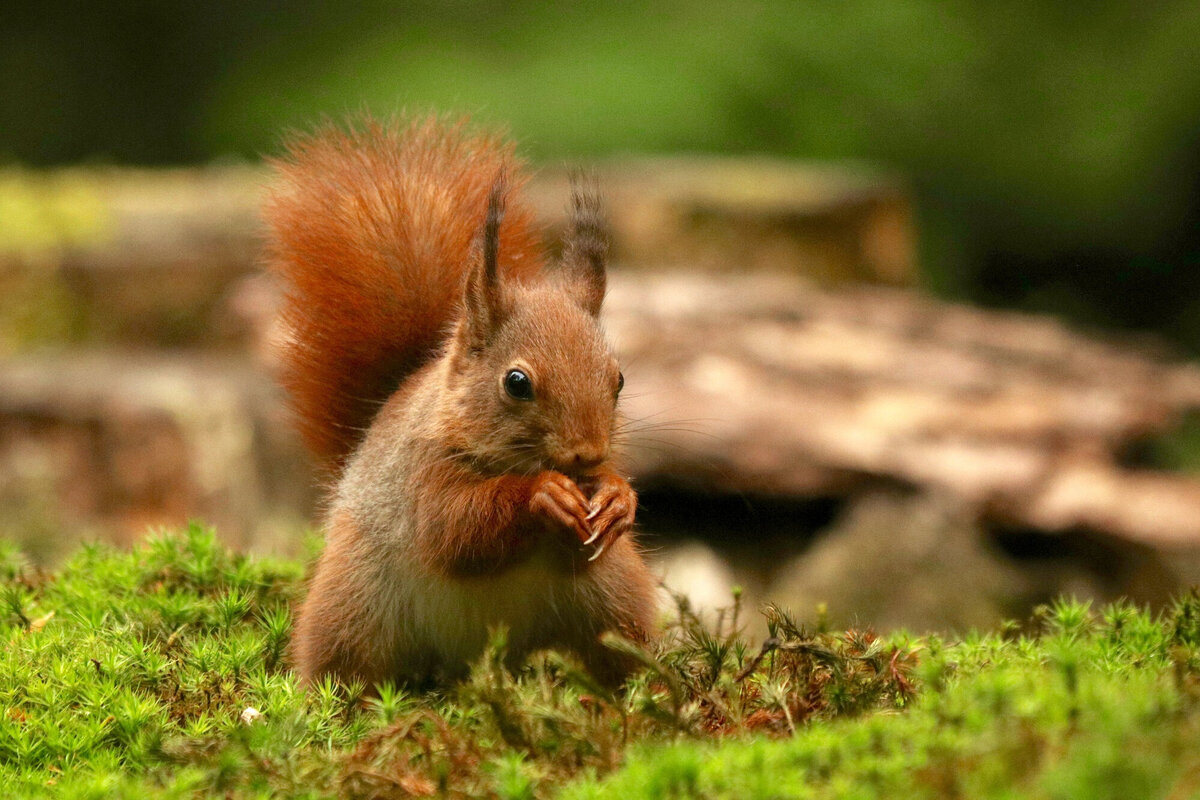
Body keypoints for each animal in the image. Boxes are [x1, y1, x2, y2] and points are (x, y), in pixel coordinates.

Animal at [263, 115, 659, 688]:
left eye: (620, 378)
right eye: (516, 382)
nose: (588, 454)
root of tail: (471, 660)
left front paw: (616, 498)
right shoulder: (421, 475)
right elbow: (454, 529)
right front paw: (542, 494)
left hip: (614, 595)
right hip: (353, 604)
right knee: (345, 664)